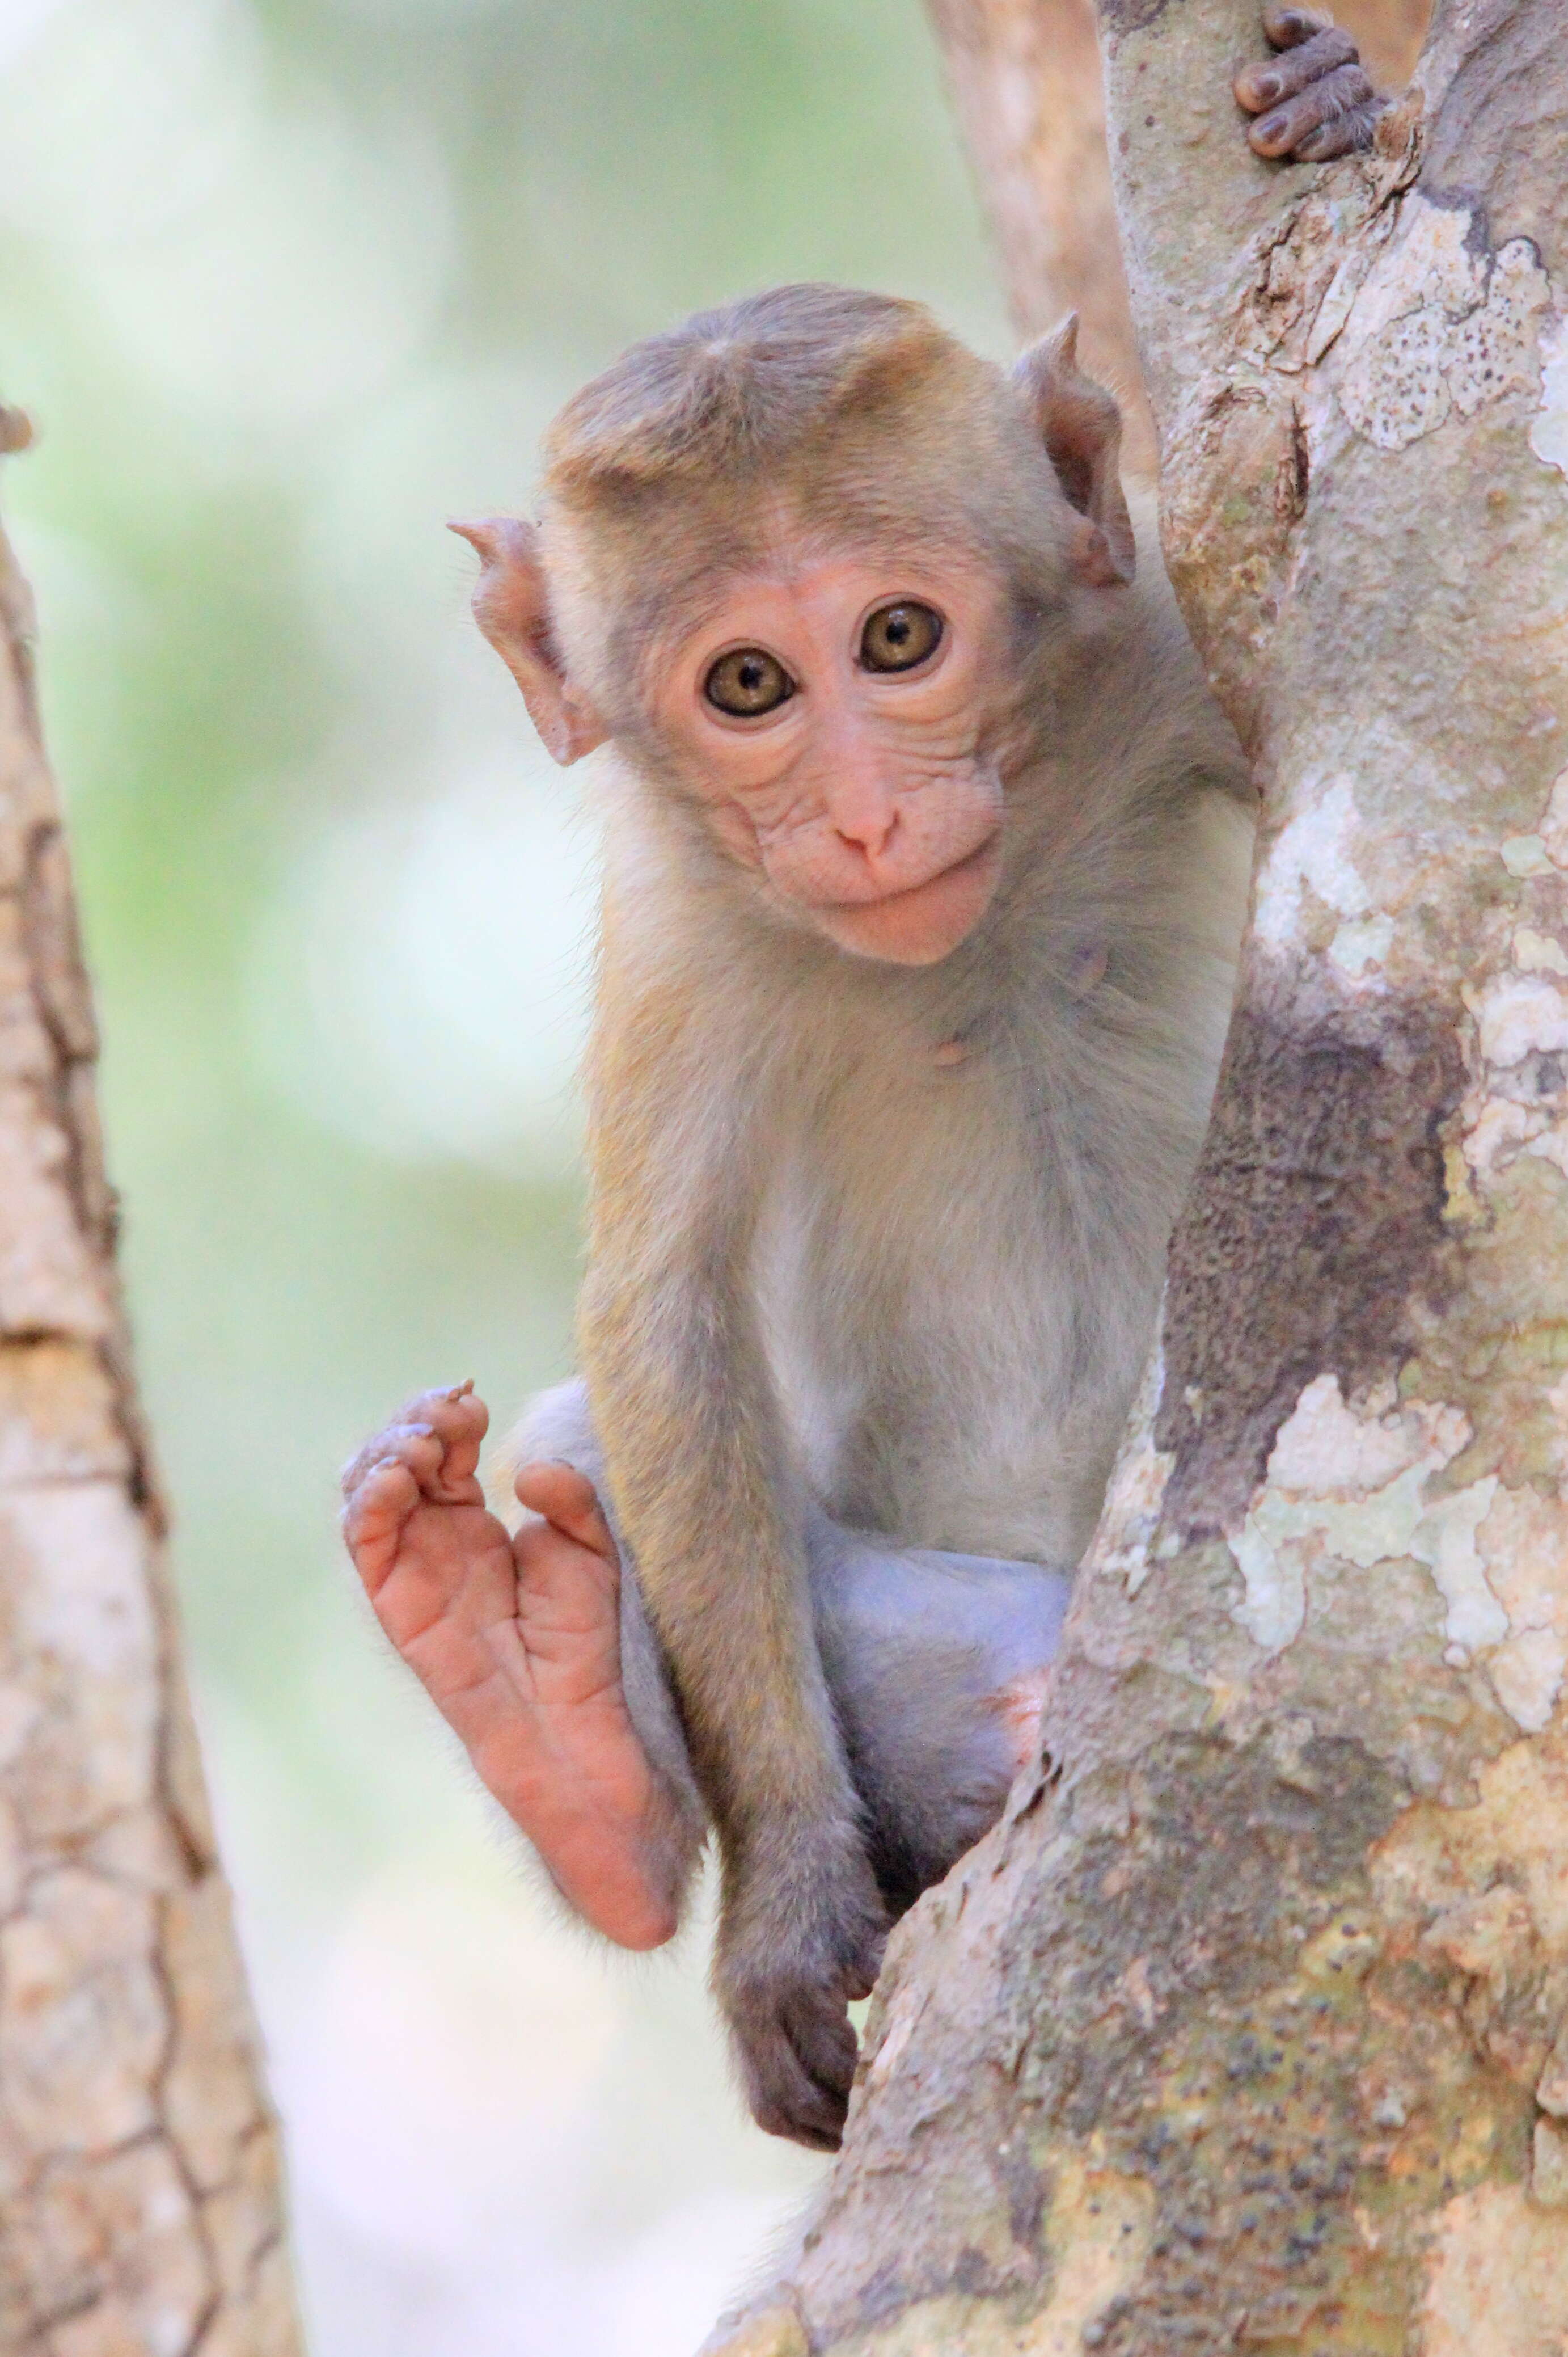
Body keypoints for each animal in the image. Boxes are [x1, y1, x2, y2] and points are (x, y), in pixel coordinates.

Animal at [346, 14, 1386, 2158]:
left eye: (896, 637)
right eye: (748, 685)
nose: (864, 813)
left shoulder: (1173, 665)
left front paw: (1332, 89)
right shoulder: (685, 921)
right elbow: (657, 1322)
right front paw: (787, 1904)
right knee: (588, 1441)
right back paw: (550, 1726)